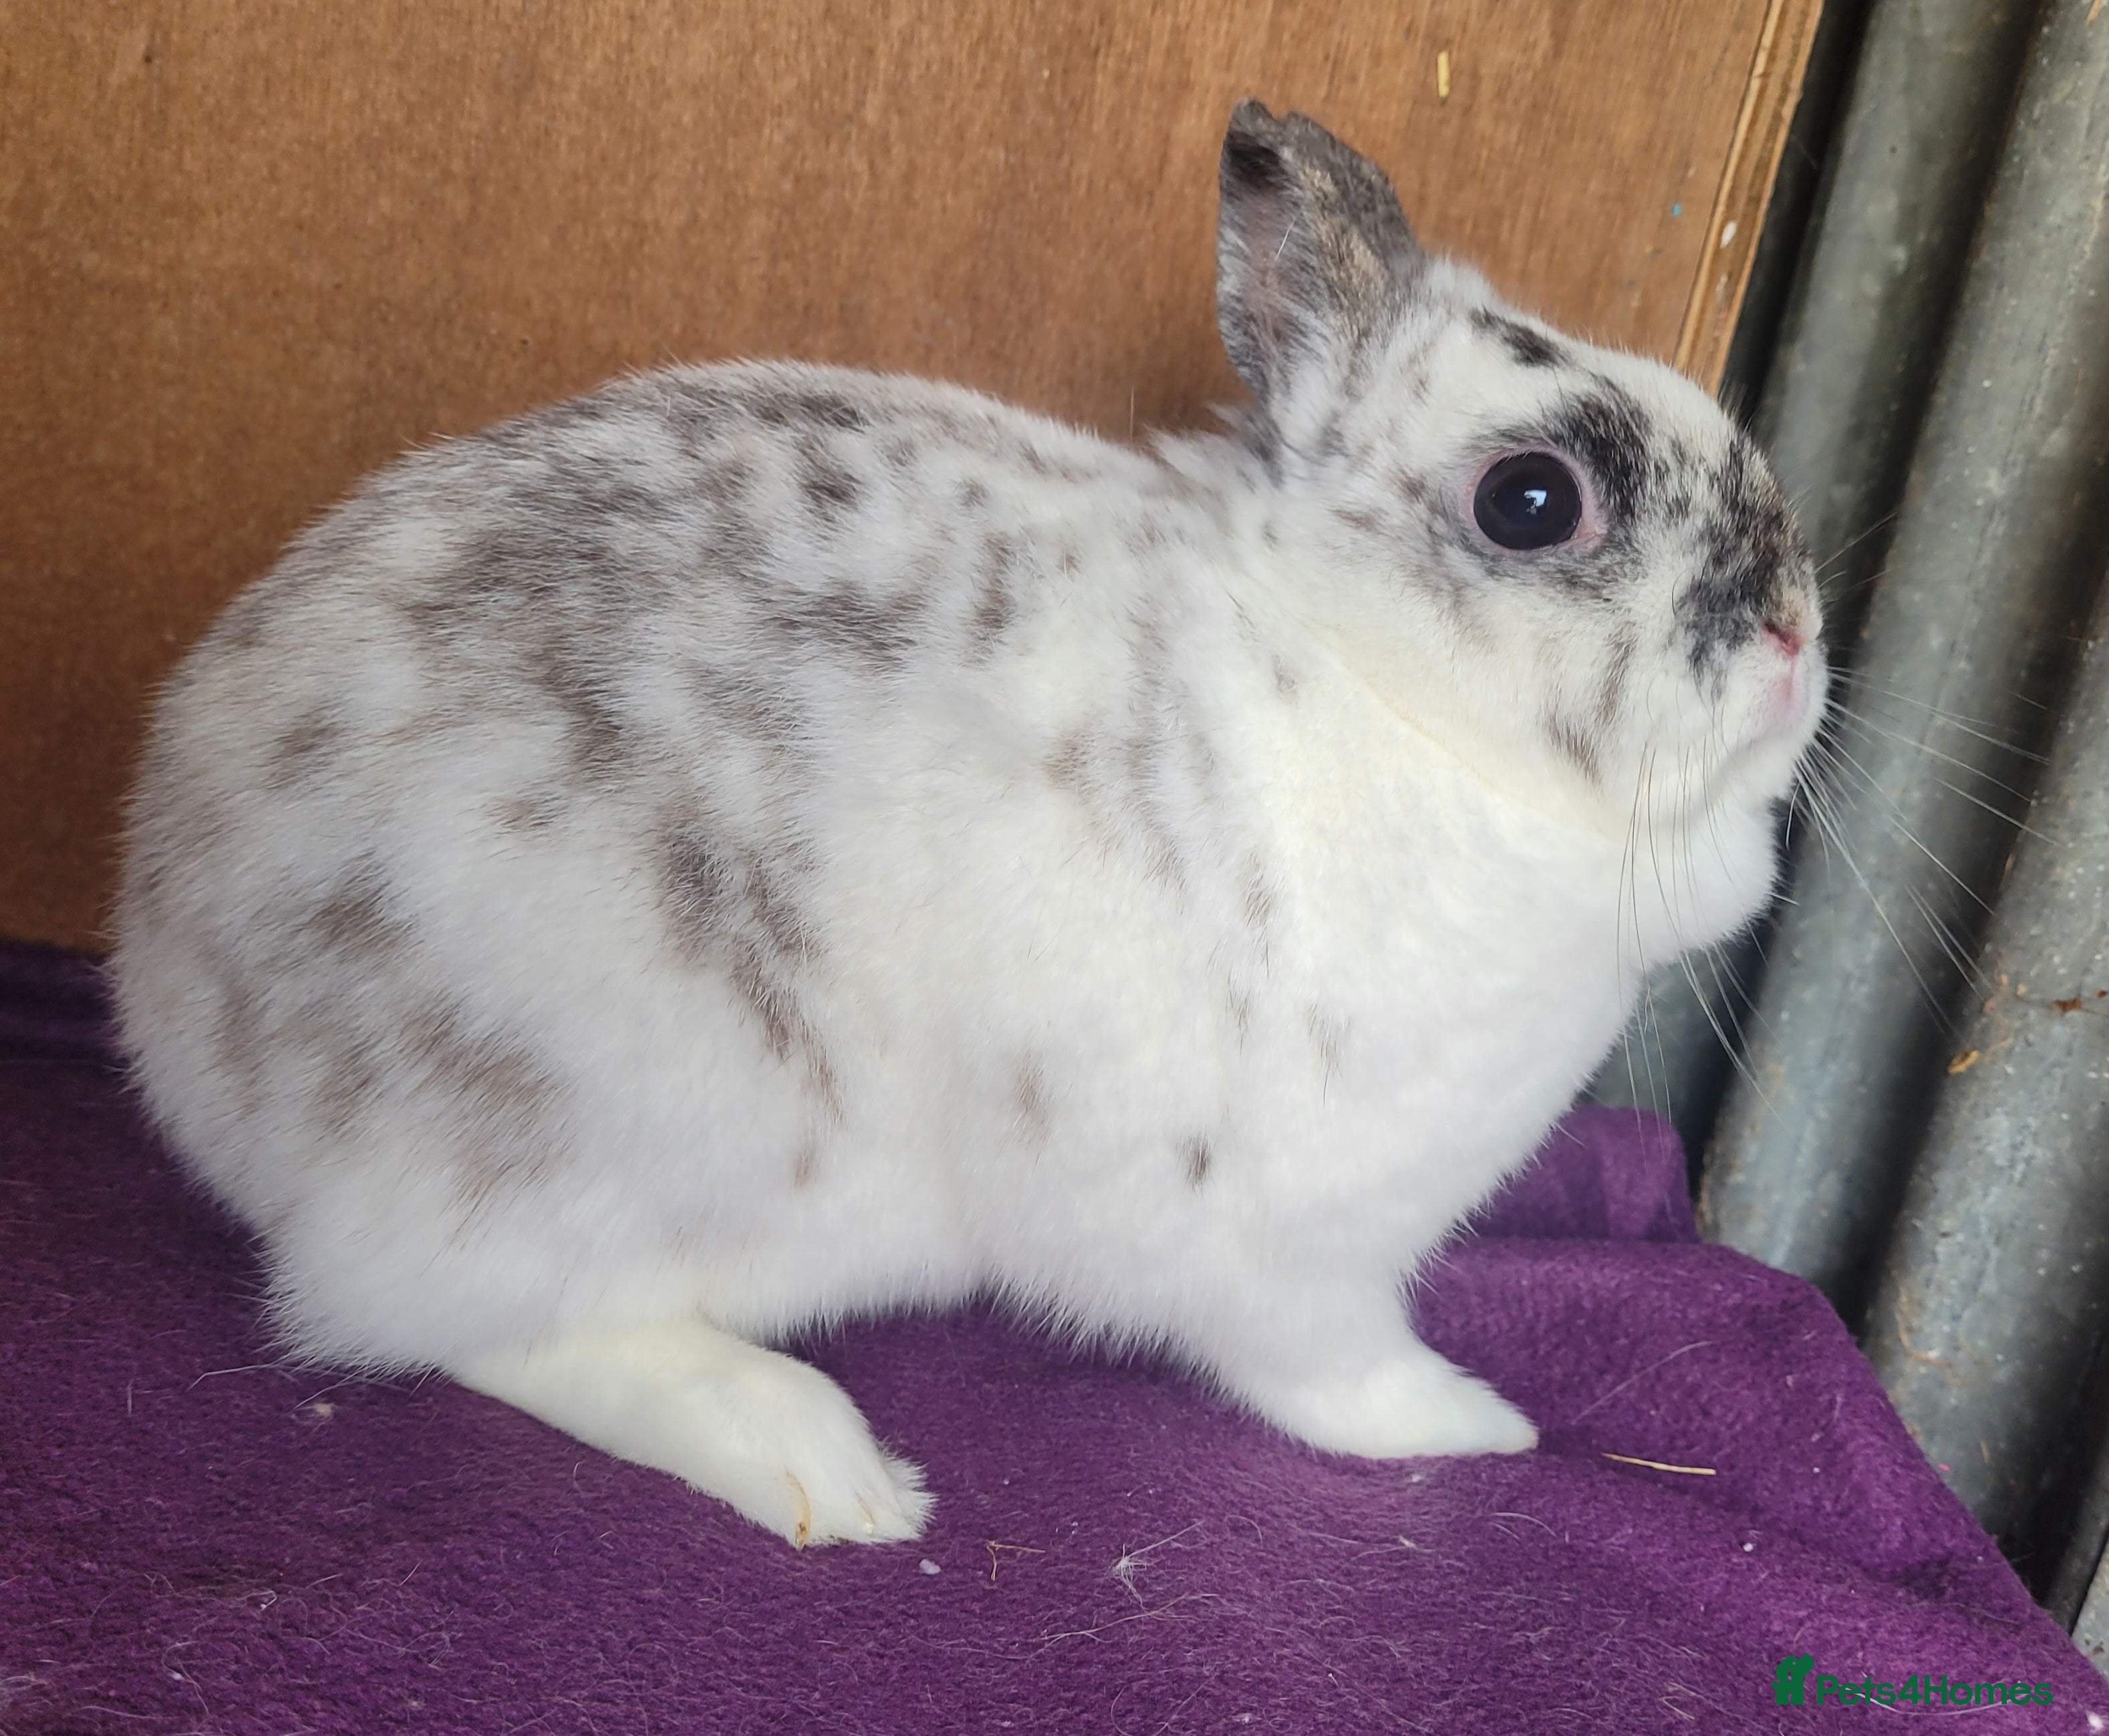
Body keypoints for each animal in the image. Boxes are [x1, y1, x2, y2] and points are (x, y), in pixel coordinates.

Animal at [110, 101, 1826, 1548]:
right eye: (1532, 502)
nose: (1796, 628)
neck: (1373, 691)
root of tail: (173, 1007)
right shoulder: (1289, 1250)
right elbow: (1332, 1369)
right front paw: (1471, 1429)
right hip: (633, 1143)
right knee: (453, 1321)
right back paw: (828, 1469)